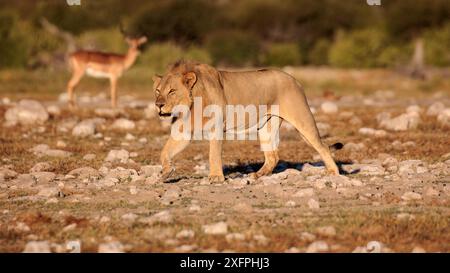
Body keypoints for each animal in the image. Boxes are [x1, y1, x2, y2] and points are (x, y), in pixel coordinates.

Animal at [153, 60, 342, 182]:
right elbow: (164, 151)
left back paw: (333, 173)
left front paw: (215, 177)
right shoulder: (183, 132)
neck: (189, 107)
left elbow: (213, 154)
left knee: (323, 146)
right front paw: (166, 172)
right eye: (157, 91)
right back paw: (256, 176)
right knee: (273, 156)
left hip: (302, 120)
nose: (158, 105)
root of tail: (293, 78)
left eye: (172, 91)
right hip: (266, 127)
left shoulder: (216, 128)